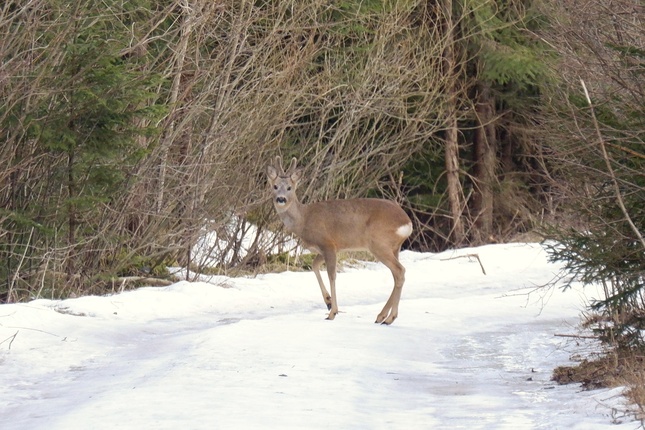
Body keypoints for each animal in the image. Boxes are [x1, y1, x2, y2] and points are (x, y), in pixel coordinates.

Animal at [266, 156, 412, 324]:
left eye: (289, 187)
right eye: (275, 186)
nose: (281, 199)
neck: (304, 219)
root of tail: (407, 223)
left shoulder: (328, 243)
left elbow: (332, 275)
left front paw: (332, 312)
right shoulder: (323, 249)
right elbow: (314, 265)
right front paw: (328, 302)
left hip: (379, 244)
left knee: (400, 271)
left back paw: (389, 318)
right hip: (394, 247)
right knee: (396, 275)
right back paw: (382, 316)